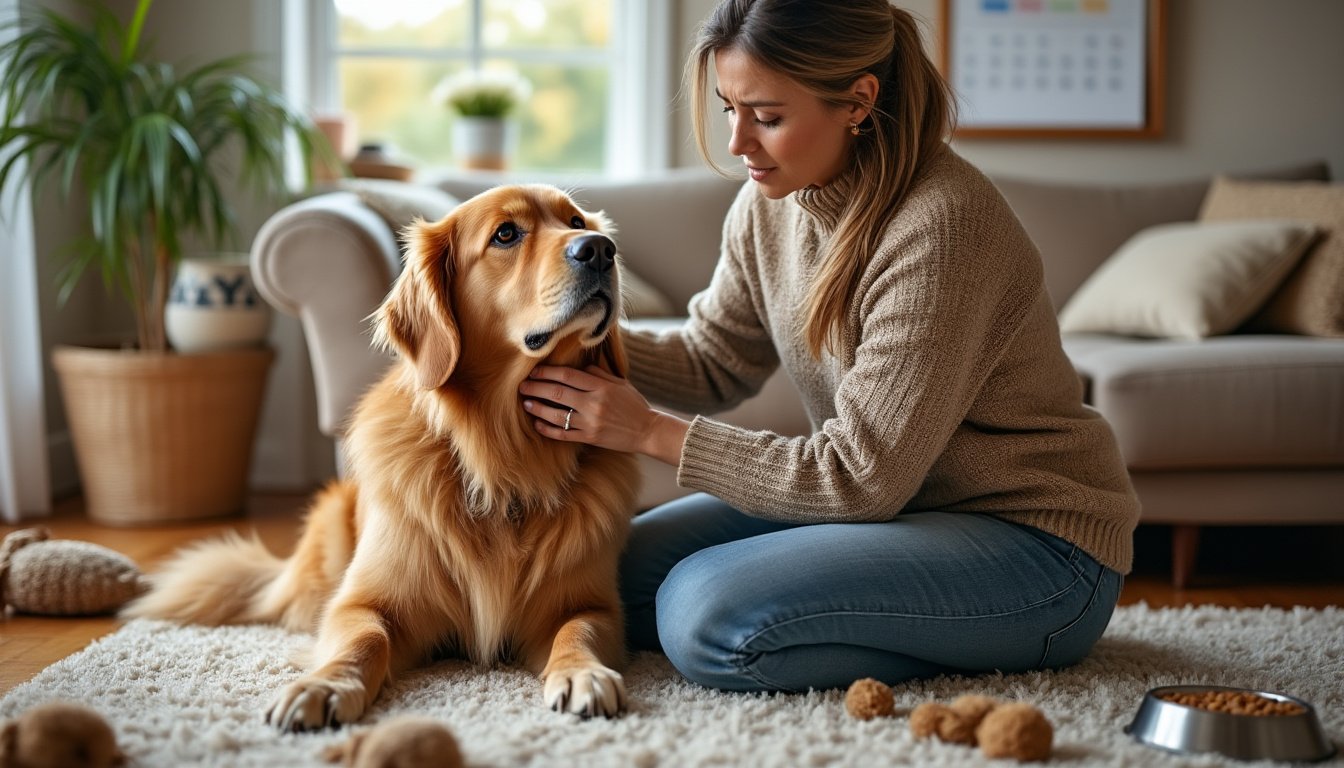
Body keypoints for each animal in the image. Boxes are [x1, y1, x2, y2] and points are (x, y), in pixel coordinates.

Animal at [120, 182, 639, 731]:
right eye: (506, 234)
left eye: (577, 222)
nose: (600, 250)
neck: (501, 460)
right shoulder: (361, 602)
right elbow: (363, 639)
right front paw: (325, 685)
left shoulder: (593, 606)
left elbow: (577, 631)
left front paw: (583, 673)